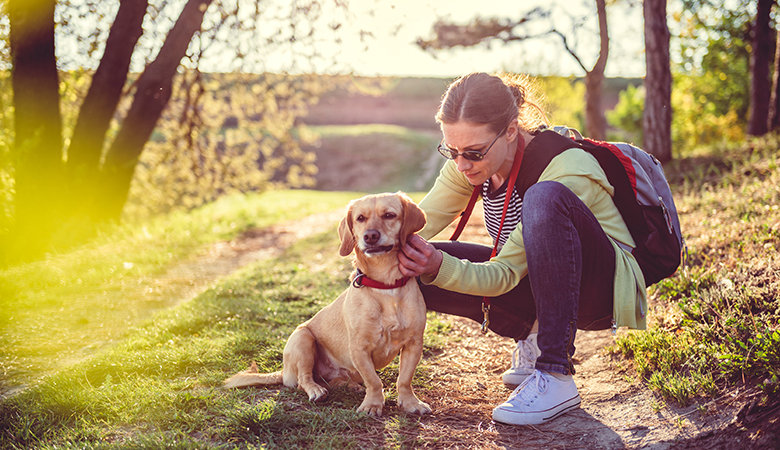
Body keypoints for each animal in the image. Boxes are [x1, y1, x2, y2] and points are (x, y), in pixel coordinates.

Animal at [224, 192, 432, 416]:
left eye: (389, 215)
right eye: (360, 218)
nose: (370, 236)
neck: (385, 286)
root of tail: (284, 371)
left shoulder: (414, 344)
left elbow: (404, 379)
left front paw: (410, 402)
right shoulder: (359, 349)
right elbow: (374, 381)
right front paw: (373, 404)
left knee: (334, 380)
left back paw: (349, 385)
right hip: (303, 338)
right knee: (304, 379)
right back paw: (316, 390)